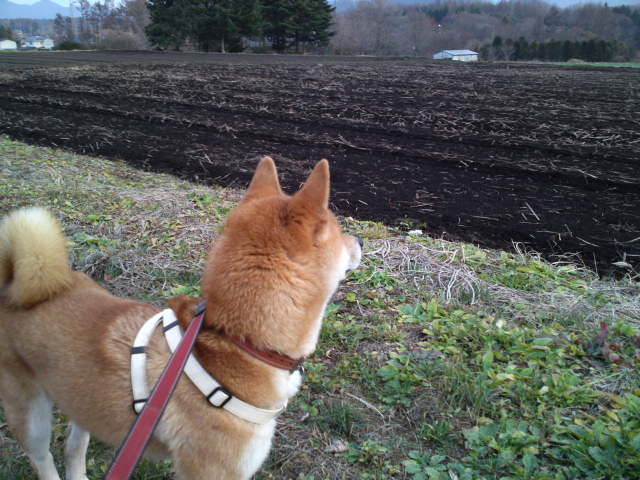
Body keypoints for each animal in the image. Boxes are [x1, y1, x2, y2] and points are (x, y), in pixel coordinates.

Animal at [0, 157, 361, 480]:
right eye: (339, 230)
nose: (359, 240)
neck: (236, 341)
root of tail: (15, 284)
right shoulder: (212, 473)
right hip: (30, 415)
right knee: (43, 457)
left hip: (81, 398)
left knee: (73, 447)